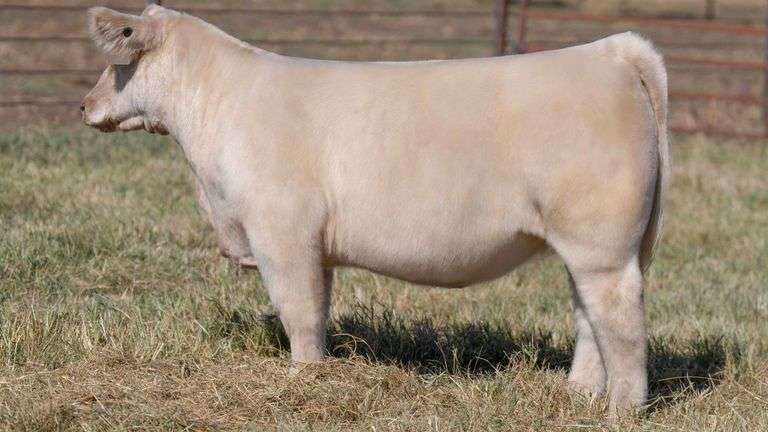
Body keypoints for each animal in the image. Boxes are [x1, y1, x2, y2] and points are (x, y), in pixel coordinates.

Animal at [81, 4, 669, 418]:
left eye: (118, 62)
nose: (84, 105)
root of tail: (612, 51)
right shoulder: (313, 246)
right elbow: (318, 310)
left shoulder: (281, 233)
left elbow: (298, 313)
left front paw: (302, 381)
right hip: (590, 248)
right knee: (589, 318)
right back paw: (578, 397)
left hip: (601, 246)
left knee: (620, 321)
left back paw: (621, 410)